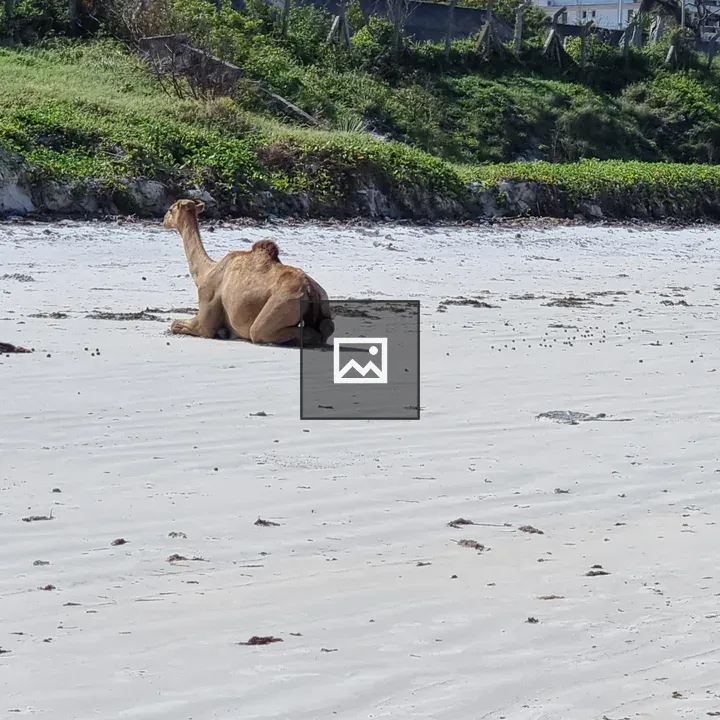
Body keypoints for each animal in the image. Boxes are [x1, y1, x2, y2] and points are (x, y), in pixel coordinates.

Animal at [162, 199, 334, 346]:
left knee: (260, 332)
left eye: (170, 209)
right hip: (323, 297)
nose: (163, 220)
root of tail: (309, 289)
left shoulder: (205, 308)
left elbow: (177, 324)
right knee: (327, 326)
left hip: (284, 302)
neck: (206, 272)